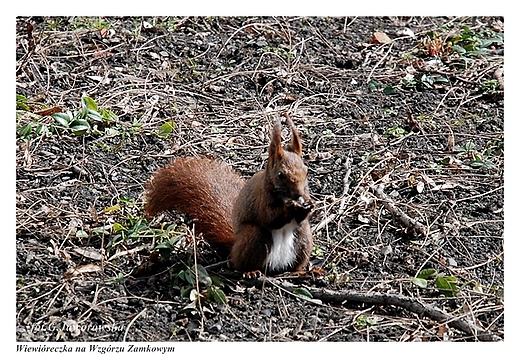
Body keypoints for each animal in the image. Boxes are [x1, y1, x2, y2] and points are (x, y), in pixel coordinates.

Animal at [143, 116, 312, 278]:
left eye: (306, 170)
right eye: (280, 175)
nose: (299, 194)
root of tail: (234, 245)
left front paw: (310, 205)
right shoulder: (261, 198)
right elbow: (269, 217)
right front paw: (289, 207)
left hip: (303, 239)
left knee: (296, 260)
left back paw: (301, 271)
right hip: (254, 237)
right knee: (241, 263)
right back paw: (250, 272)